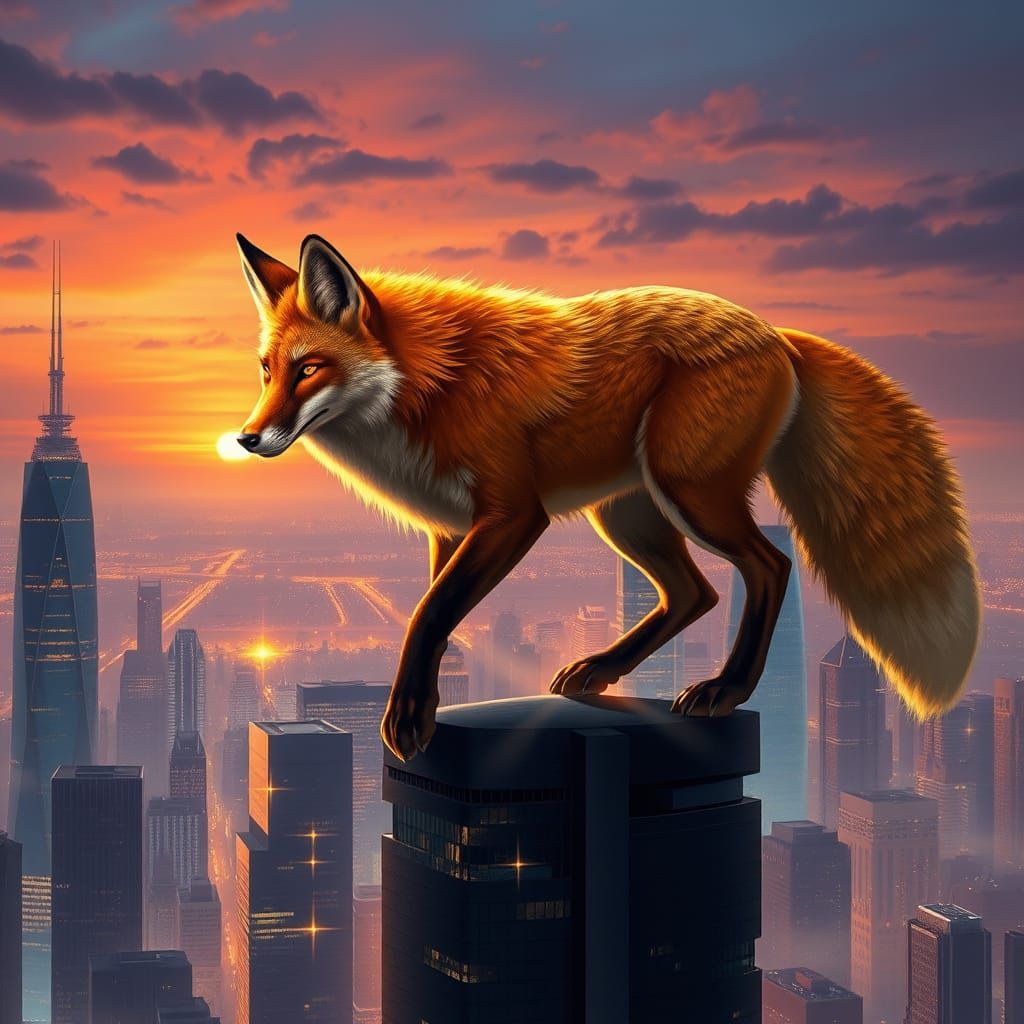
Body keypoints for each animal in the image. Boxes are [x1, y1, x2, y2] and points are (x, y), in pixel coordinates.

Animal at [235, 232, 981, 763]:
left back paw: (727, 688)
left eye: (310, 369)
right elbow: (433, 619)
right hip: (625, 514)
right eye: (268, 372)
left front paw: (410, 717)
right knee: (694, 593)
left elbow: (428, 613)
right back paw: (603, 670)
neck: (429, 384)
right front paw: (426, 705)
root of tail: (777, 333)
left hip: (688, 493)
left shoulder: (512, 516)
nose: (246, 438)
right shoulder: (448, 528)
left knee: (770, 567)